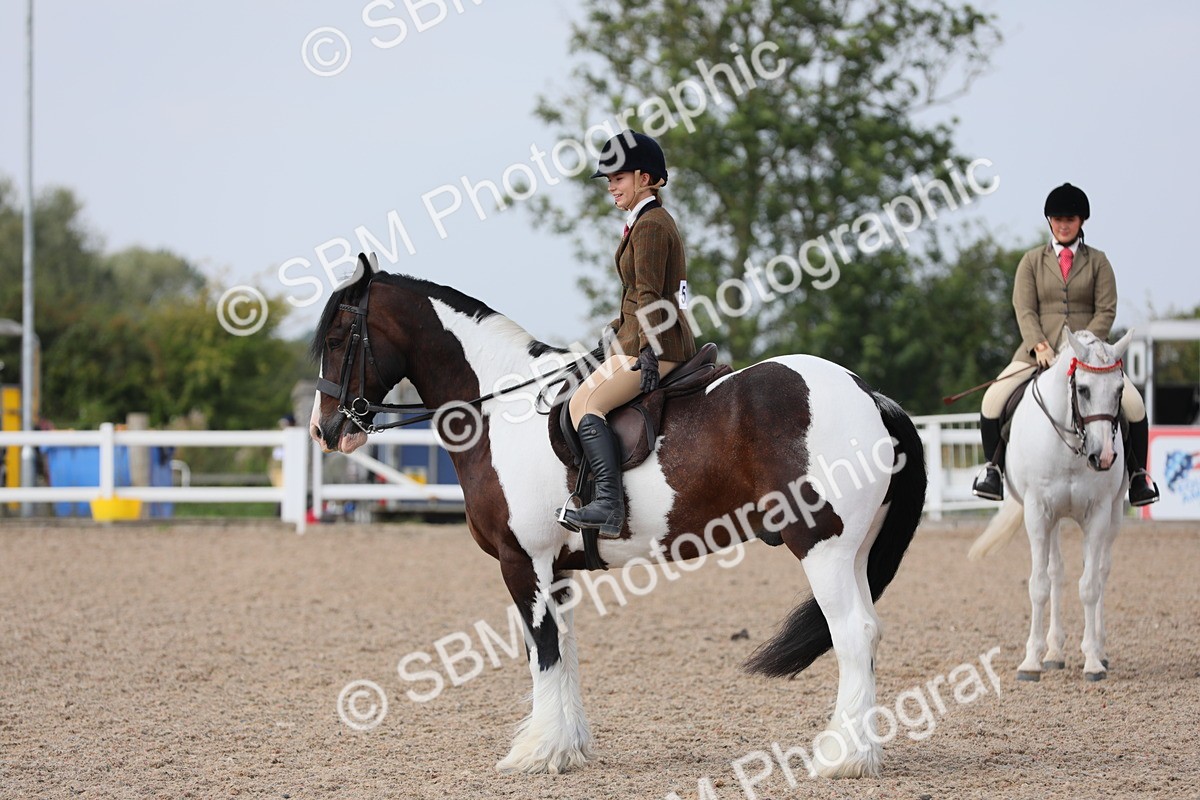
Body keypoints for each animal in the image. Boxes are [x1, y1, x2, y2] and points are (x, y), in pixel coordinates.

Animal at [309, 253, 927, 777]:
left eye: (338, 338)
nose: (325, 429)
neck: (499, 407)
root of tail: (868, 394)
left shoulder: (523, 561)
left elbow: (543, 650)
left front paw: (538, 752)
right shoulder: (556, 568)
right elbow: (565, 651)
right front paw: (567, 747)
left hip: (824, 548)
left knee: (853, 634)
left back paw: (840, 758)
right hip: (854, 552)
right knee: (867, 633)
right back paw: (861, 751)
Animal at [969, 328, 1133, 682]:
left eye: (1120, 390)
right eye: (1083, 389)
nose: (1104, 457)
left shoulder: (1099, 513)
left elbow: (1089, 586)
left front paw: (1092, 661)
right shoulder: (1038, 513)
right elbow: (1040, 584)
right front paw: (1031, 661)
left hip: (1113, 515)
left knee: (1101, 571)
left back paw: (1099, 649)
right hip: (1055, 518)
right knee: (1057, 572)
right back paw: (1054, 652)